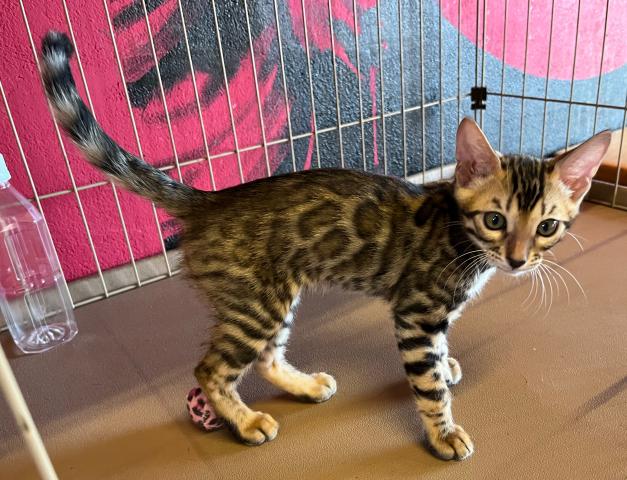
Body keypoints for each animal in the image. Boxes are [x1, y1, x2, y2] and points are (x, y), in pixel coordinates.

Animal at [40, 31, 610, 461]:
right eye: (495, 219)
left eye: (547, 227)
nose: (516, 260)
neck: (460, 237)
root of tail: (211, 200)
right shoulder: (415, 314)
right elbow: (426, 386)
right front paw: (443, 430)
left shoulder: (434, 317)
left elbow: (441, 353)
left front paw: (446, 365)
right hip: (256, 304)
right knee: (212, 369)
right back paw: (246, 422)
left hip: (274, 296)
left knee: (266, 357)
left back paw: (303, 386)